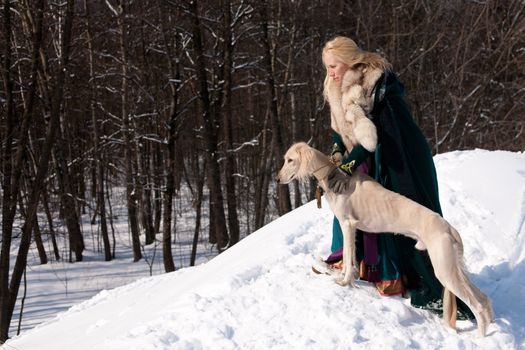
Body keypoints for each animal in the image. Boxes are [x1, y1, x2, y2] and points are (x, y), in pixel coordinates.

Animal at [276, 142, 494, 336]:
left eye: (290, 160)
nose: (277, 180)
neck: (335, 177)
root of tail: (449, 228)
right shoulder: (354, 229)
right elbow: (350, 258)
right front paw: (345, 277)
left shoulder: (348, 225)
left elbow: (347, 256)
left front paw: (344, 282)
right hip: (454, 269)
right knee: (484, 300)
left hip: (445, 271)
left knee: (477, 306)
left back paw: (479, 338)